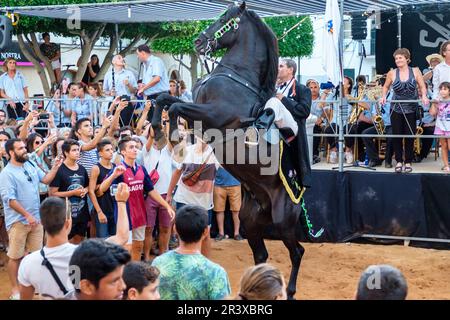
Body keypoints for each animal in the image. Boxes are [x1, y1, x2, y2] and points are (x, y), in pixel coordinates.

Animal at [151, 1, 310, 298]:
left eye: (226, 18)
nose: (198, 41)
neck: (236, 78)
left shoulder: (213, 115)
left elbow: (175, 106)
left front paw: (174, 136)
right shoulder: (197, 110)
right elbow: (164, 98)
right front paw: (157, 130)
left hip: (283, 222)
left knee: (297, 252)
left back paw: (292, 289)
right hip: (251, 222)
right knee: (261, 254)